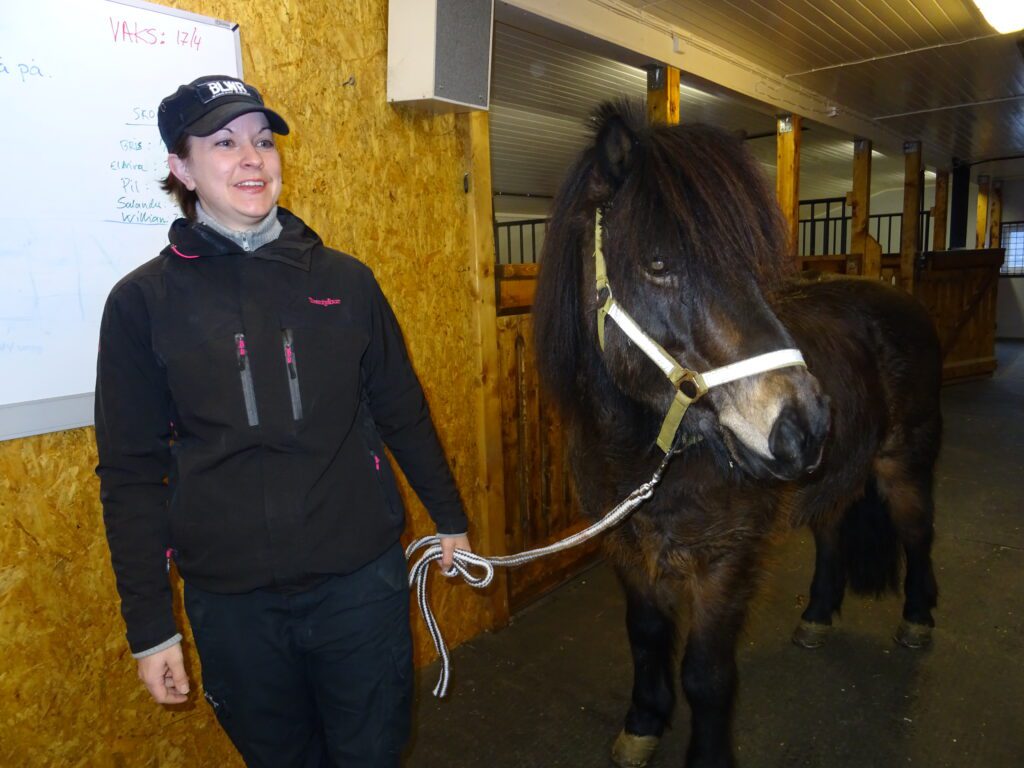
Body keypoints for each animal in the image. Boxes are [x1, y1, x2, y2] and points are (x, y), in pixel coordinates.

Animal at [532, 103, 937, 768]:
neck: (646, 458)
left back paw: (919, 619)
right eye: (659, 264)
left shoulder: (726, 561)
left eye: (747, 265)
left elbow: (706, 674)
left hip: (906, 462)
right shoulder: (626, 550)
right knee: (832, 531)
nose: (805, 423)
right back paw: (817, 616)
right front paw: (643, 724)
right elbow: (646, 636)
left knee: (919, 533)